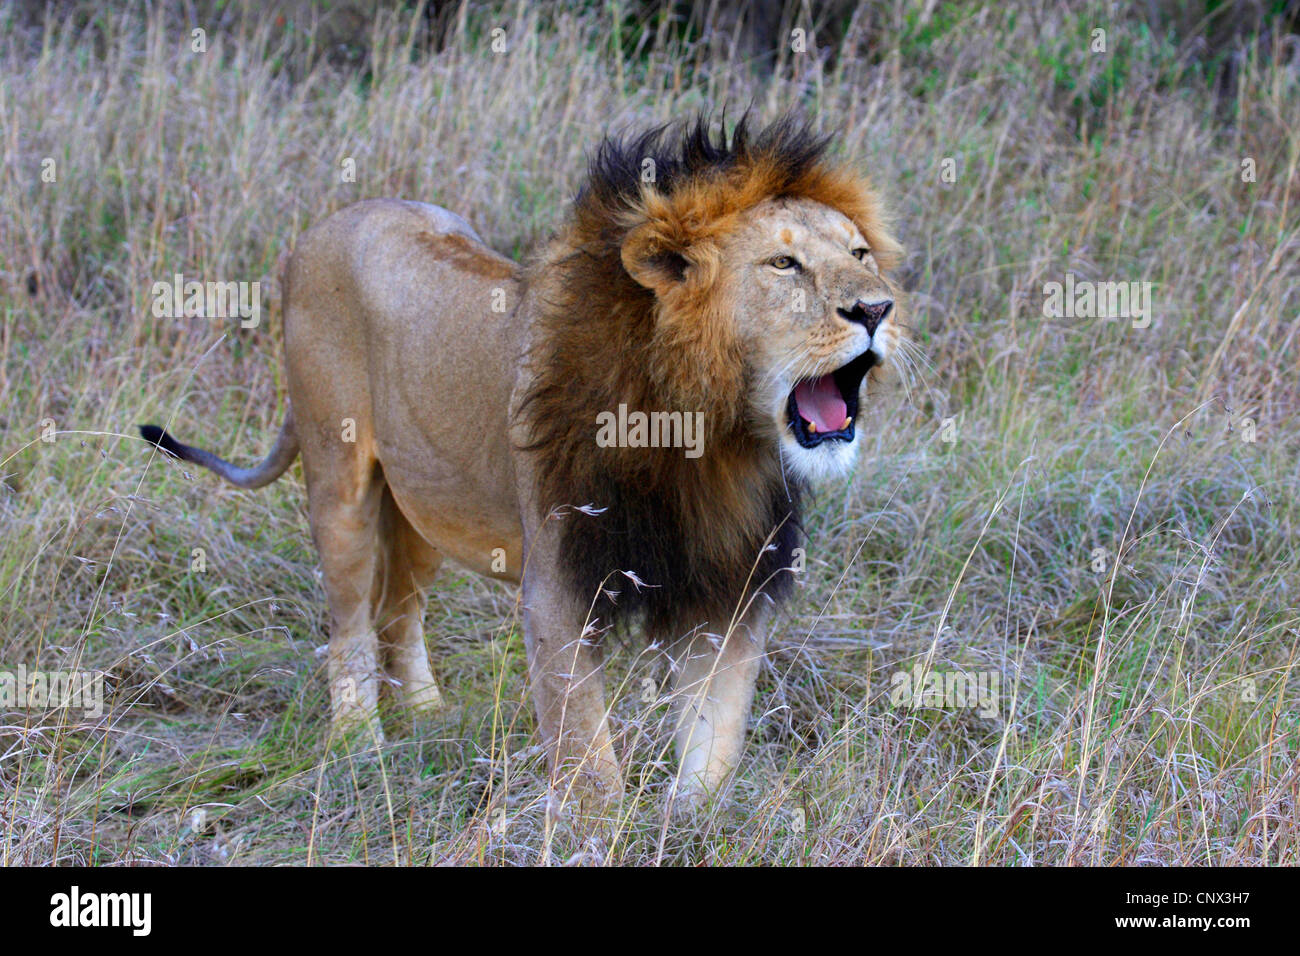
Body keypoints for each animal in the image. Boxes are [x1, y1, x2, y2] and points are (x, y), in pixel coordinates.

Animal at [140, 114, 903, 809]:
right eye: (784, 264)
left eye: (861, 254)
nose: (877, 308)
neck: (713, 439)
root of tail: (324, 227)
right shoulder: (559, 586)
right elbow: (588, 758)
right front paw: (600, 836)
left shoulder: (728, 586)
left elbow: (713, 740)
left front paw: (692, 825)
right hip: (340, 485)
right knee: (349, 622)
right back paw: (360, 744)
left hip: (428, 507)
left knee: (398, 611)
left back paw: (427, 717)